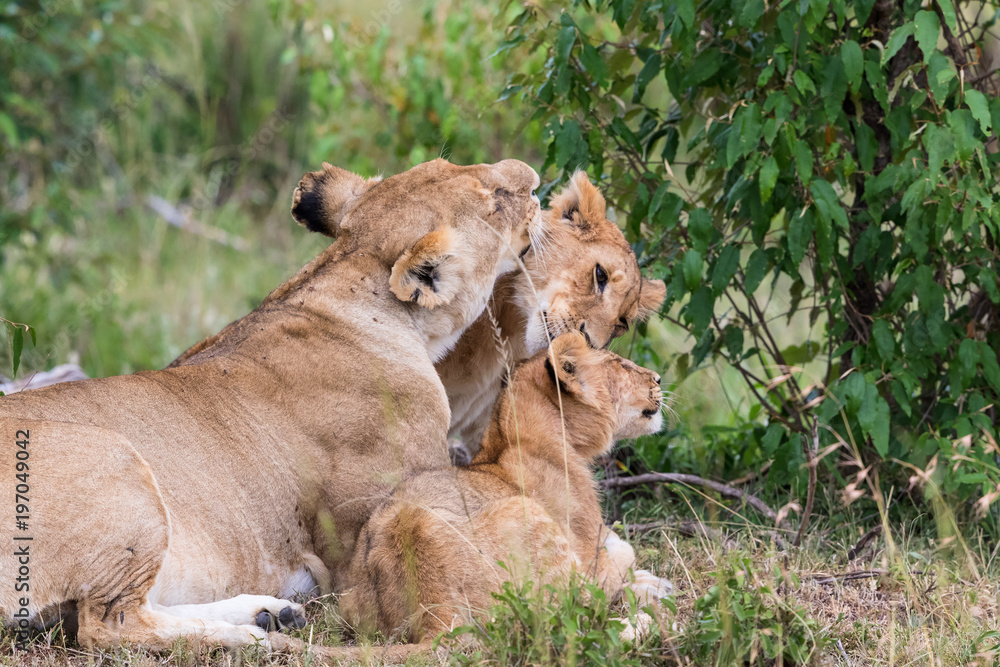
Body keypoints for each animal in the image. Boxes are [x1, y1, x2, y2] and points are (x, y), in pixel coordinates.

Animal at [0, 158, 543, 651]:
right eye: (495, 197)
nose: (535, 178)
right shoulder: (385, 515)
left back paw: (270, 612)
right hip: (116, 458)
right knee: (105, 627)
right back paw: (251, 635)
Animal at [321, 331, 672, 661]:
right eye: (621, 365)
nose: (657, 379)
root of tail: (436, 612)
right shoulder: (588, 556)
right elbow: (617, 561)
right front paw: (646, 578)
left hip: (349, 602)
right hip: (528, 518)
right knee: (574, 613)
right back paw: (649, 614)